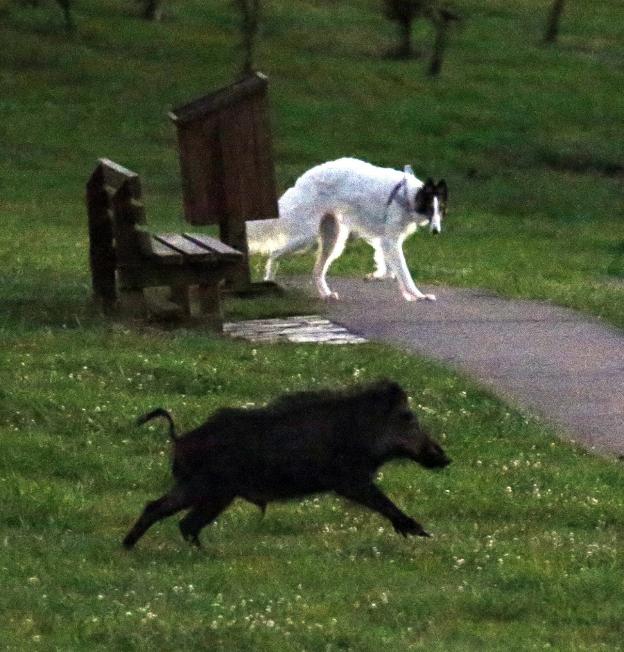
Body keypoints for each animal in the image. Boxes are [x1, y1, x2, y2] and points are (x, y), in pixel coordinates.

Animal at [246, 158, 446, 300]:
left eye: (441, 209)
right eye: (430, 208)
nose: (437, 232)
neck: (406, 194)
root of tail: (303, 180)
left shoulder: (386, 240)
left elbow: (389, 270)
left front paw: (376, 276)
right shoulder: (390, 240)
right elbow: (404, 273)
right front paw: (419, 295)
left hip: (331, 240)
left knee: (316, 272)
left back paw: (326, 294)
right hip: (307, 237)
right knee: (274, 254)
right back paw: (269, 280)